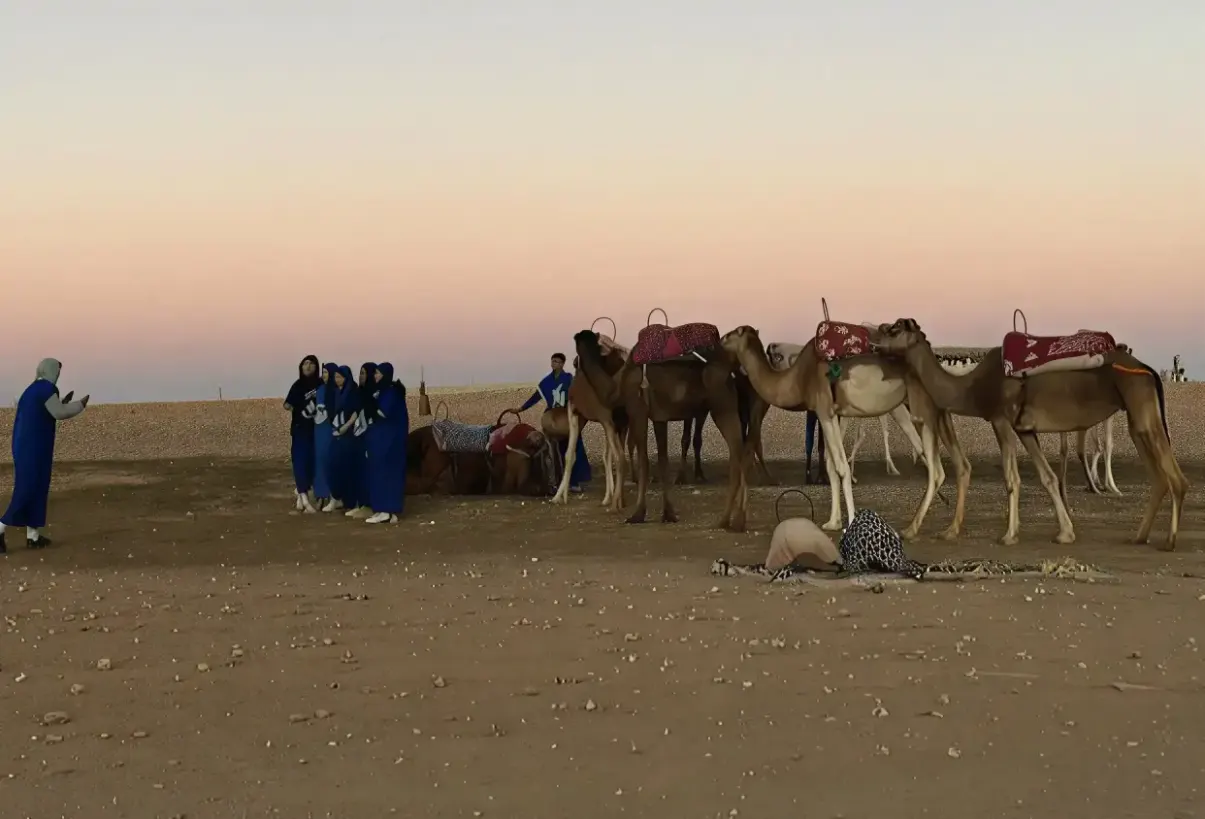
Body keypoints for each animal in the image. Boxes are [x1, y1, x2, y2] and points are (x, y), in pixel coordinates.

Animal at [573, 330, 750, 531]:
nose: (575, 363)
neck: (619, 383)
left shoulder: (638, 410)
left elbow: (644, 461)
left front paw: (637, 514)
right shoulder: (659, 416)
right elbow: (662, 460)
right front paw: (669, 514)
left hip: (721, 406)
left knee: (736, 451)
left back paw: (728, 520)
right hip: (728, 406)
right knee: (739, 450)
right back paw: (736, 519)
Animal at [720, 326, 967, 537]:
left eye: (733, 333)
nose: (721, 339)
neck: (799, 377)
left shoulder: (825, 410)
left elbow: (840, 467)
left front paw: (850, 524)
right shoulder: (834, 414)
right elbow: (831, 467)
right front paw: (833, 522)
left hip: (923, 411)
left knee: (937, 470)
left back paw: (913, 528)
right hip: (938, 411)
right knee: (959, 464)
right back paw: (948, 528)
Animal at [869, 318, 1187, 549]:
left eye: (894, 328)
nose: (873, 337)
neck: (974, 387)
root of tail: (1146, 368)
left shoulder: (1000, 420)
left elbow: (1011, 479)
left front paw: (1009, 535)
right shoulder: (1025, 429)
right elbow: (1047, 478)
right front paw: (1065, 533)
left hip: (1140, 403)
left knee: (1175, 477)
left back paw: (1170, 540)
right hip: (1136, 415)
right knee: (1158, 476)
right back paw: (1139, 536)